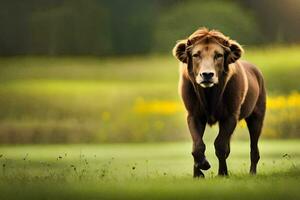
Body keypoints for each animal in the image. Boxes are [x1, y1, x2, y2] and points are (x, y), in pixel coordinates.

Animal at [172, 27, 266, 177]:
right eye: (196, 55)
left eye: (219, 55)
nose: (207, 74)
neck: (209, 94)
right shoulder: (194, 114)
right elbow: (197, 144)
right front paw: (200, 169)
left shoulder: (230, 115)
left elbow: (220, 145)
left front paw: (222, 173)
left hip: (257, 115)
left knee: (254, 147)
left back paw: (252, 172)